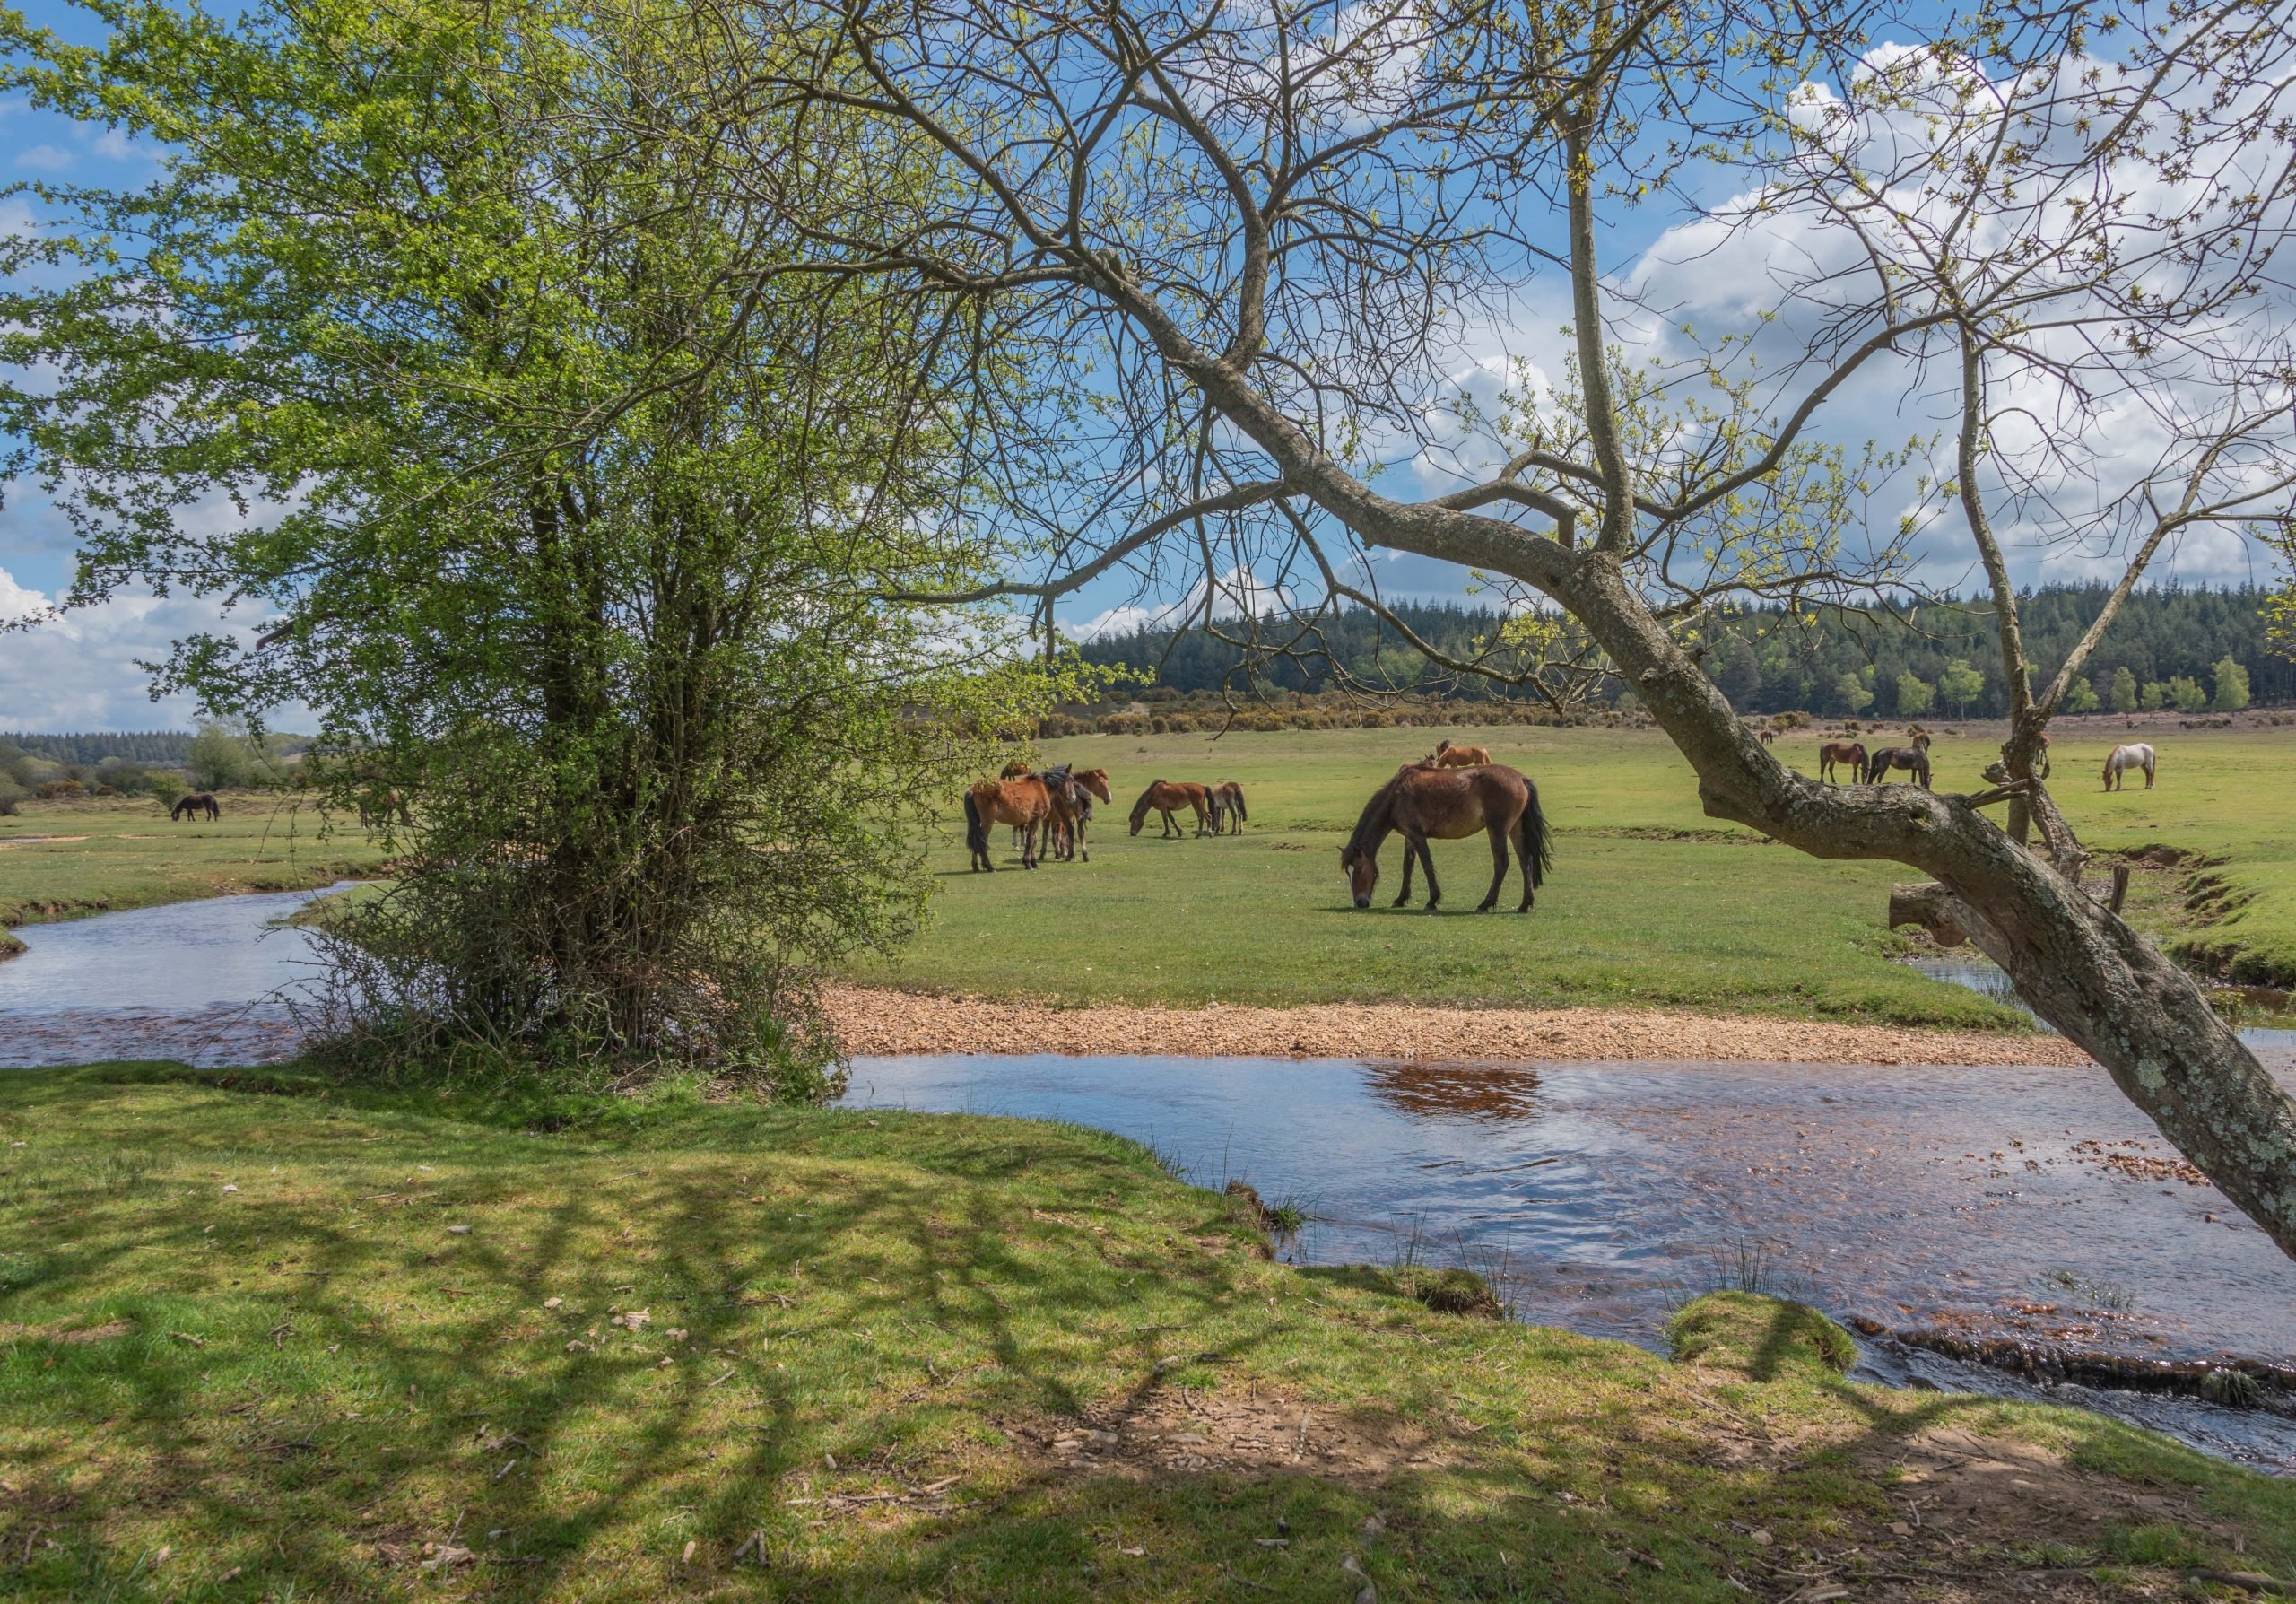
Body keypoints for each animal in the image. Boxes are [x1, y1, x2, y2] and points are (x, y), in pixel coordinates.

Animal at [1341, 762, 1552, 913]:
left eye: (1359, 869)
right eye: (1347, 872)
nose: (1359, 902)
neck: (1396, 796)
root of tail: (1521, 779)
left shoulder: (1417, 835)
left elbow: (1426, 865)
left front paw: (1432, 900)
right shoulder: (1409, 837)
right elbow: (1407, 867)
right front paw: (1401, 899)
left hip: (1497, 830)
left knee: (1502, 863)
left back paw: (1485, 904)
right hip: (1515, 830)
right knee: (1525, 862)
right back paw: (1525, 904)